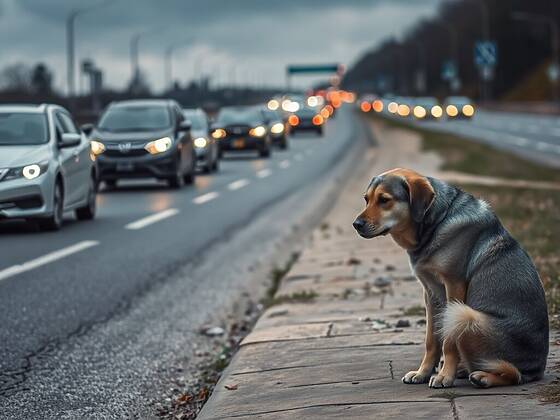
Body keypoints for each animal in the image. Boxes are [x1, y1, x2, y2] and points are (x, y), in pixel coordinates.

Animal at [352, 167, 548, 388]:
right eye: (366, 199)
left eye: (384, 199)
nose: (356, 224)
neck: (436, 222)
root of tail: (536, 370)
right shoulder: (430, 293)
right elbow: (431, 340)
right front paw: (423, 372)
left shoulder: (454, 286)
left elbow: (448, 342)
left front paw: (445, 375)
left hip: (464, 315)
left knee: (512, 374)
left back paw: (482, 377)